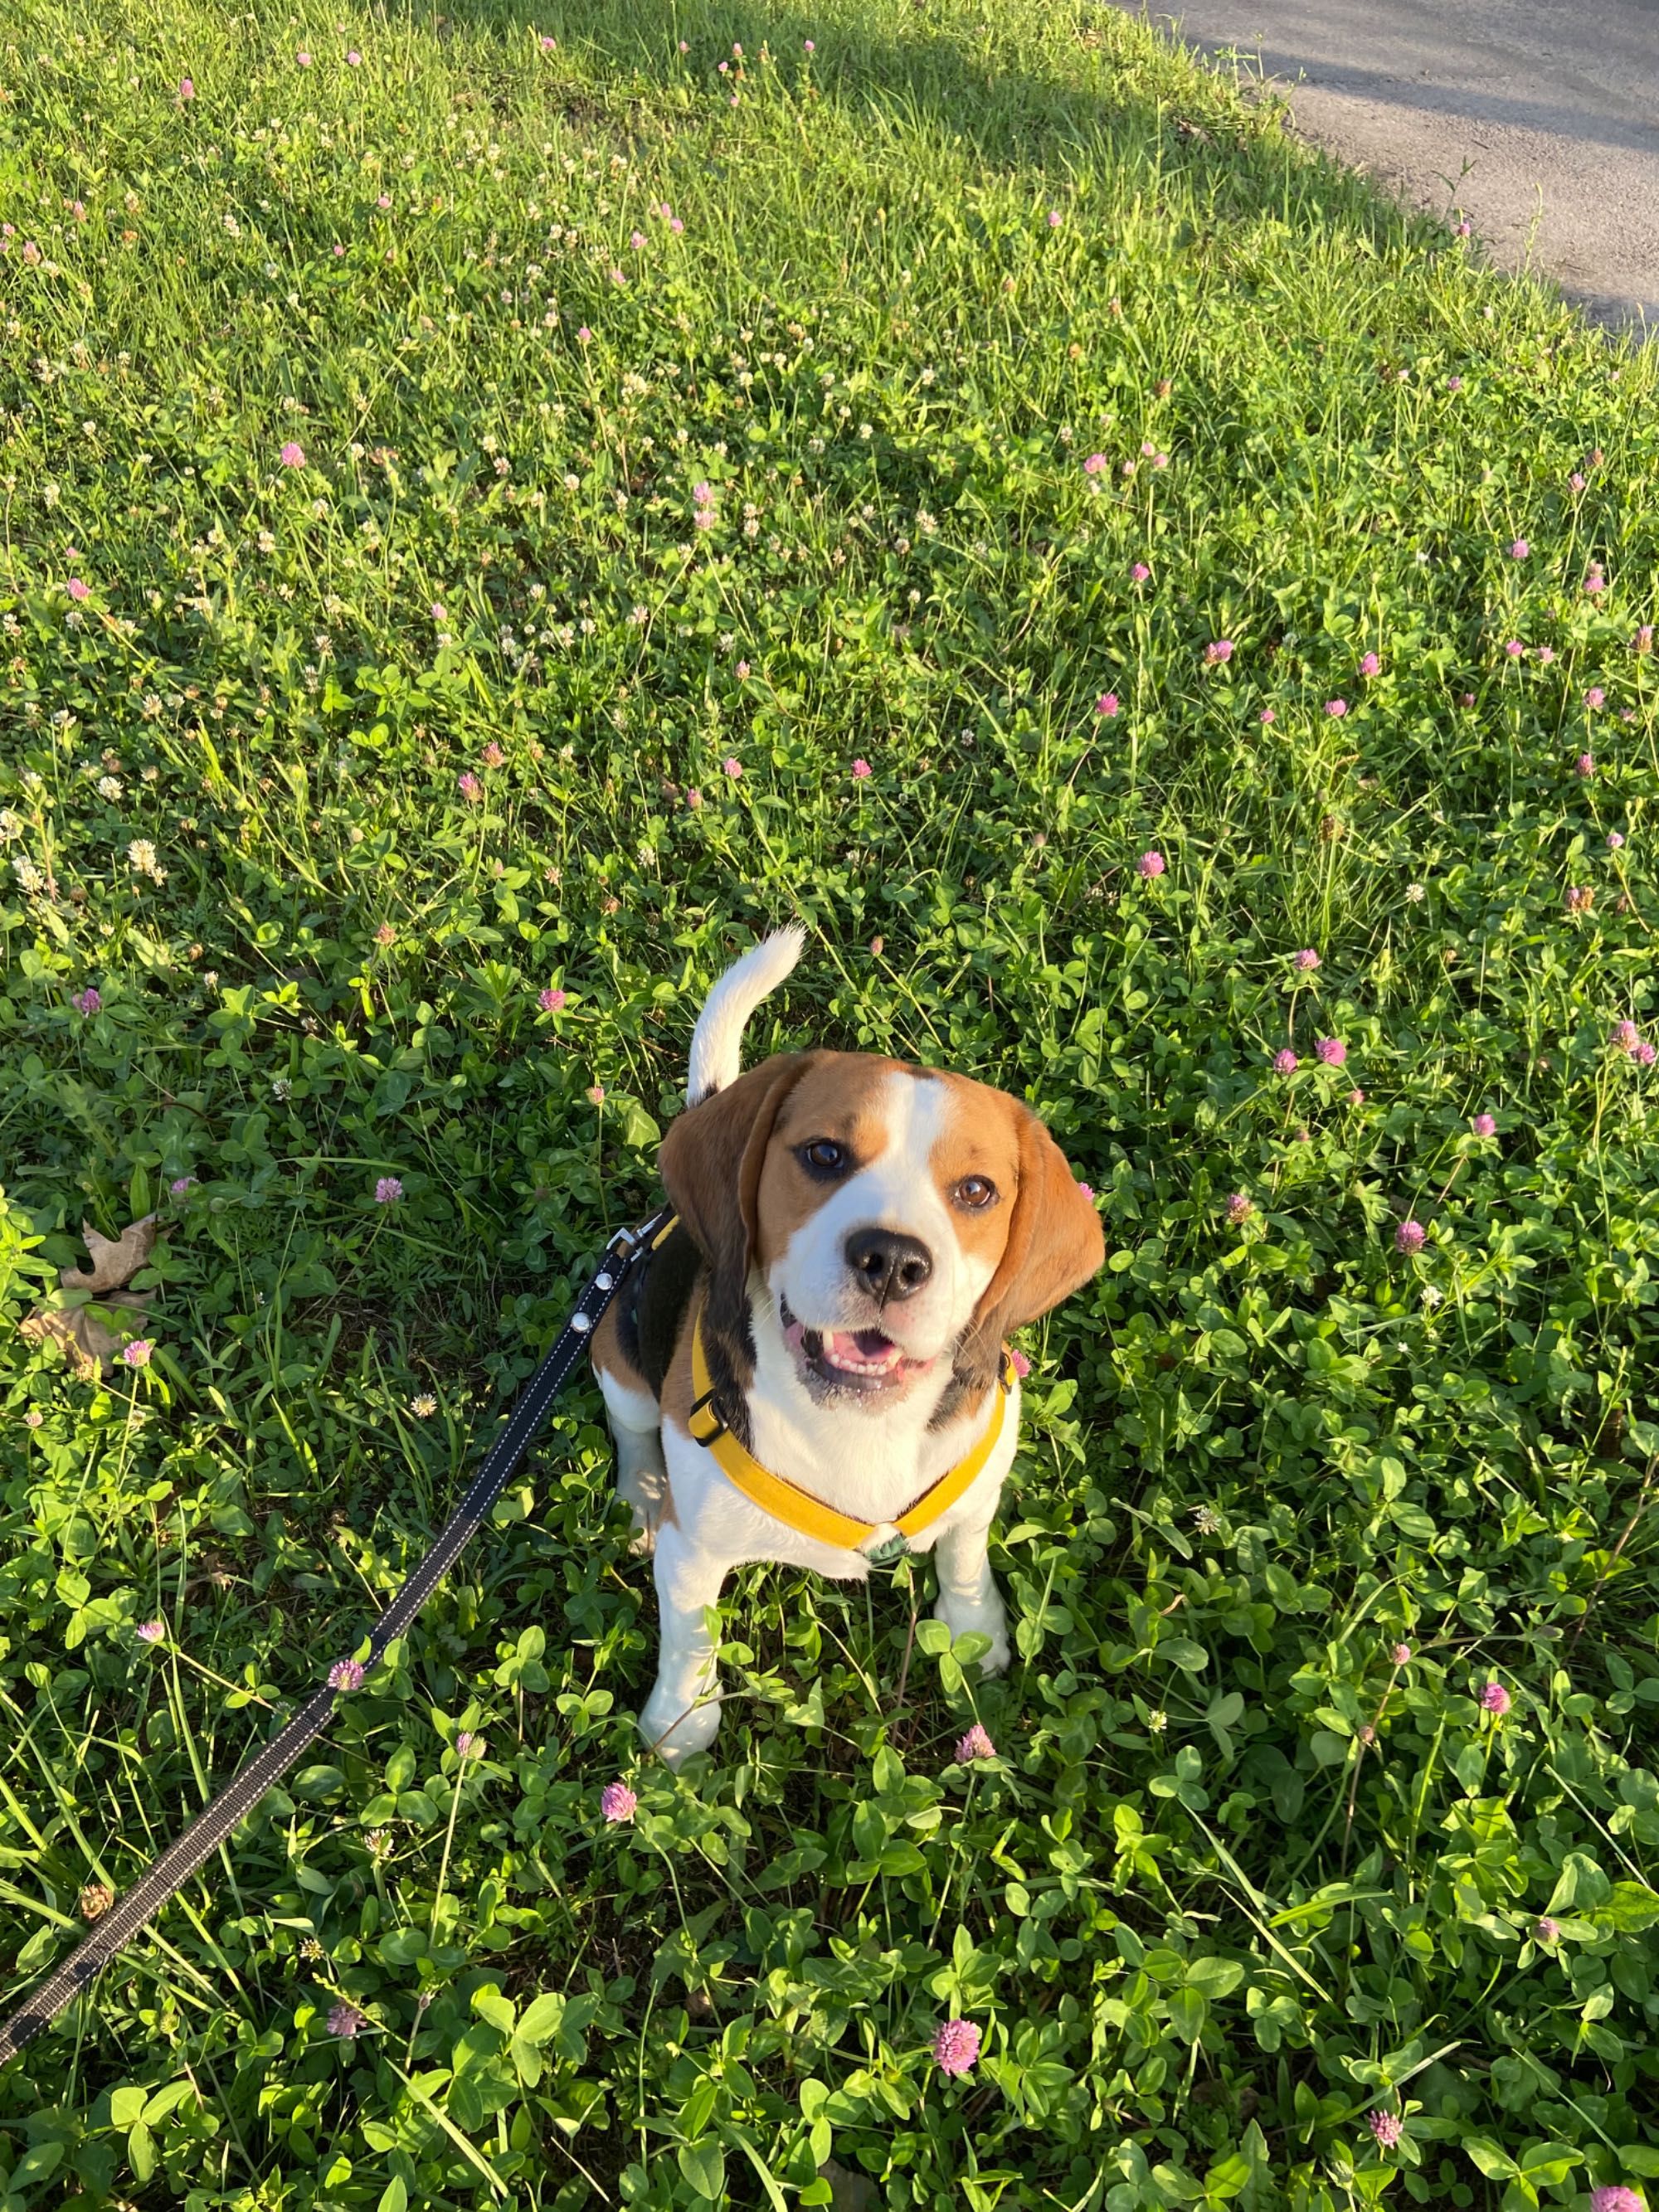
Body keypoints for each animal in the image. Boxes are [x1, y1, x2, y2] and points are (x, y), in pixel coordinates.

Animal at [592, 929, 1110, 1760]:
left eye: (976, 1191)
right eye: (825, 1155)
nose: (892, 1260)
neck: (861, 1422)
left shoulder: (979, 1484)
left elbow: (965, 1554)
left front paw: (975, 1629)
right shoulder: (692, 1551)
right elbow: (691, 1638)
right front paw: (682, 1721)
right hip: (620, 1360)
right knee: (632, 1427)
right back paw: (641, 1493)